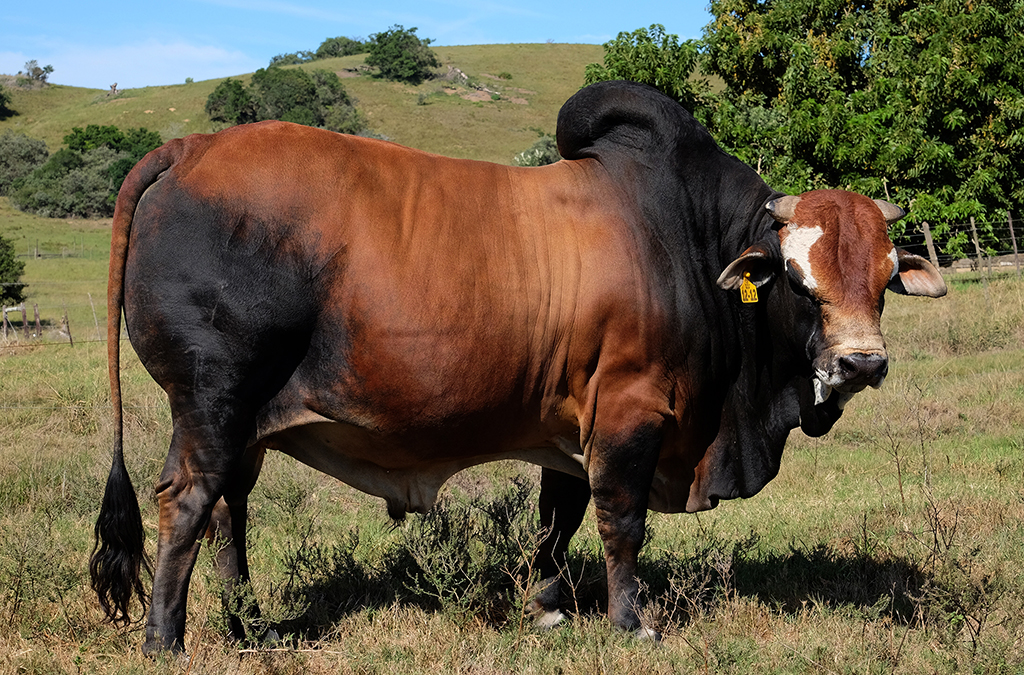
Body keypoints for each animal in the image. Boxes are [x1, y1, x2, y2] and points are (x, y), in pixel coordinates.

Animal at [90, 80, 946, 653]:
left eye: (880, 279)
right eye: (798, 279)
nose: (861, 361)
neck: (687, 241)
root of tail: (190, 149)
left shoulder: (569, 423)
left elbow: (556, 519)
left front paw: (548, 605)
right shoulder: (630, 412)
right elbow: (621, 522)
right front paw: (632, 623)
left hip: (248, 421)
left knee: (229, 508)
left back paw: (250, 626)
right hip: (213, 399)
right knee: (188, 500)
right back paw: (167, 639)